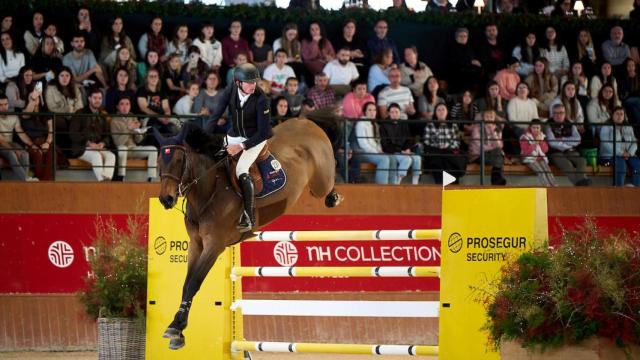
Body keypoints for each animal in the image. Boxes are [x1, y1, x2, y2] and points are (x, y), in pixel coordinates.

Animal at [154, 119, 342, 350]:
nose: (166, 200)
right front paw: (177, 330)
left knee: (328, 184)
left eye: (180, 160)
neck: (208, 190)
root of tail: (306, 122)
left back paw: (334, 197)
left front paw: (177, 326)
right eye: (159, 161)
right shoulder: (196, 245)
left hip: (319, 182)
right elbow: (186, 283)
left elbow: (194, 283)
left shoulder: (214, 246)